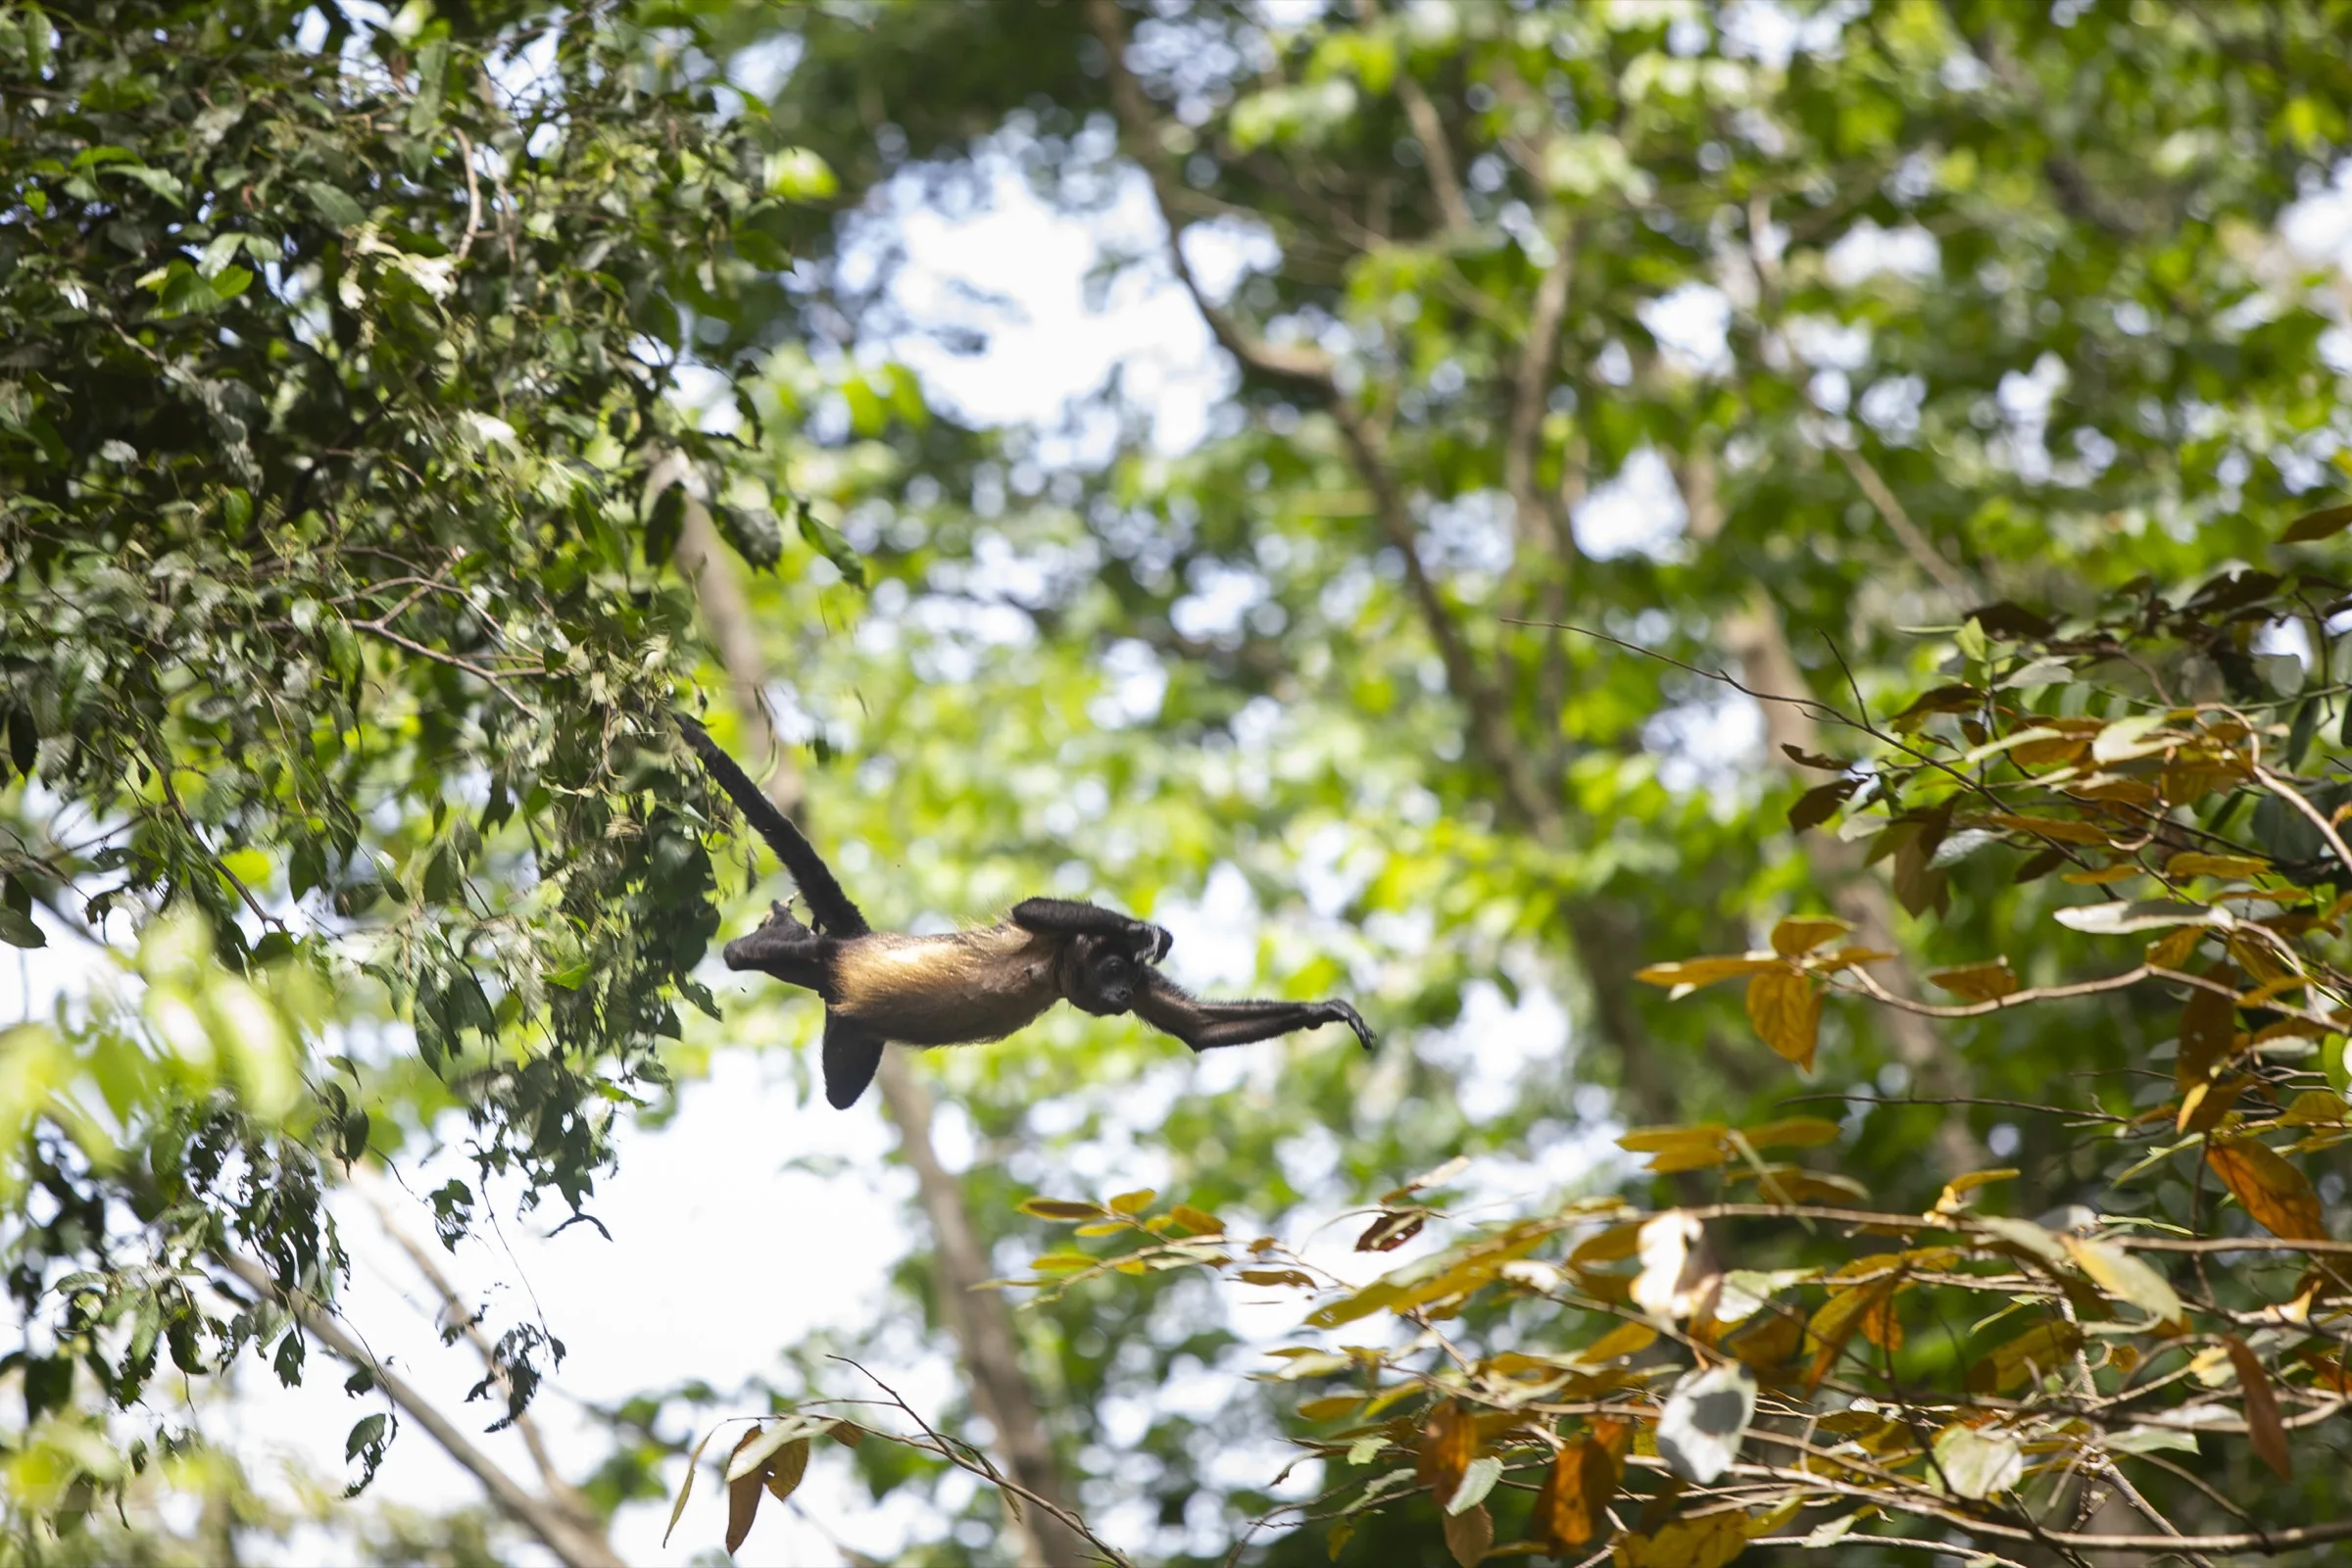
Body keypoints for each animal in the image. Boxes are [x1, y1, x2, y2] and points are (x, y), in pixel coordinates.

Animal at [675, 714, 1376, 1109]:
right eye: (1114, 969)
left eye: (1128, 980)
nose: (1124, 990)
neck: (1060, 970)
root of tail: (860, 942)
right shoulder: (1051, 941)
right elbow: (1032, 907)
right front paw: (1144, 926)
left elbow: (1198, 1029)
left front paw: (1324, 1011)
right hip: (834, 960)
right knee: (754, 956)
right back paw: (772, 936)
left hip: (845, 1010)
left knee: (842, 1087)